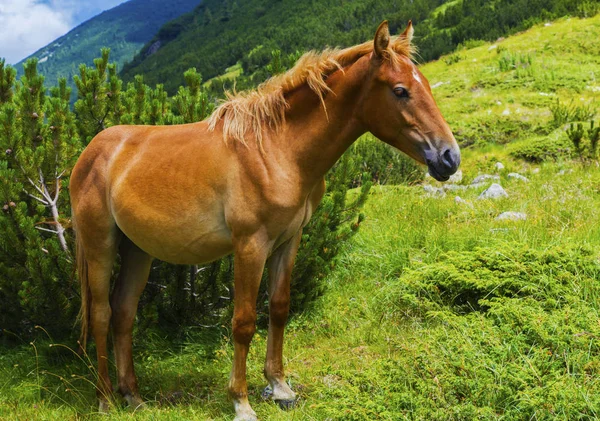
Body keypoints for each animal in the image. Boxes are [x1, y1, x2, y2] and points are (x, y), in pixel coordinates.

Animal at [71, 20, 460, 420]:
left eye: (425, 85)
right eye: (400, 90)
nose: (449, 157)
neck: (276, 150)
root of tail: (91, 152)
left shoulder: (289, 240)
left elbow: (279, 307)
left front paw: (280, 386)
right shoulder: (250, 245)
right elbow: (243, 322)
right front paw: (240, 401)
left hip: (137, 251)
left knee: (123, 313)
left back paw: (133, 396)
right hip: (101, 245)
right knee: (101, 315)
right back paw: (105, 399)